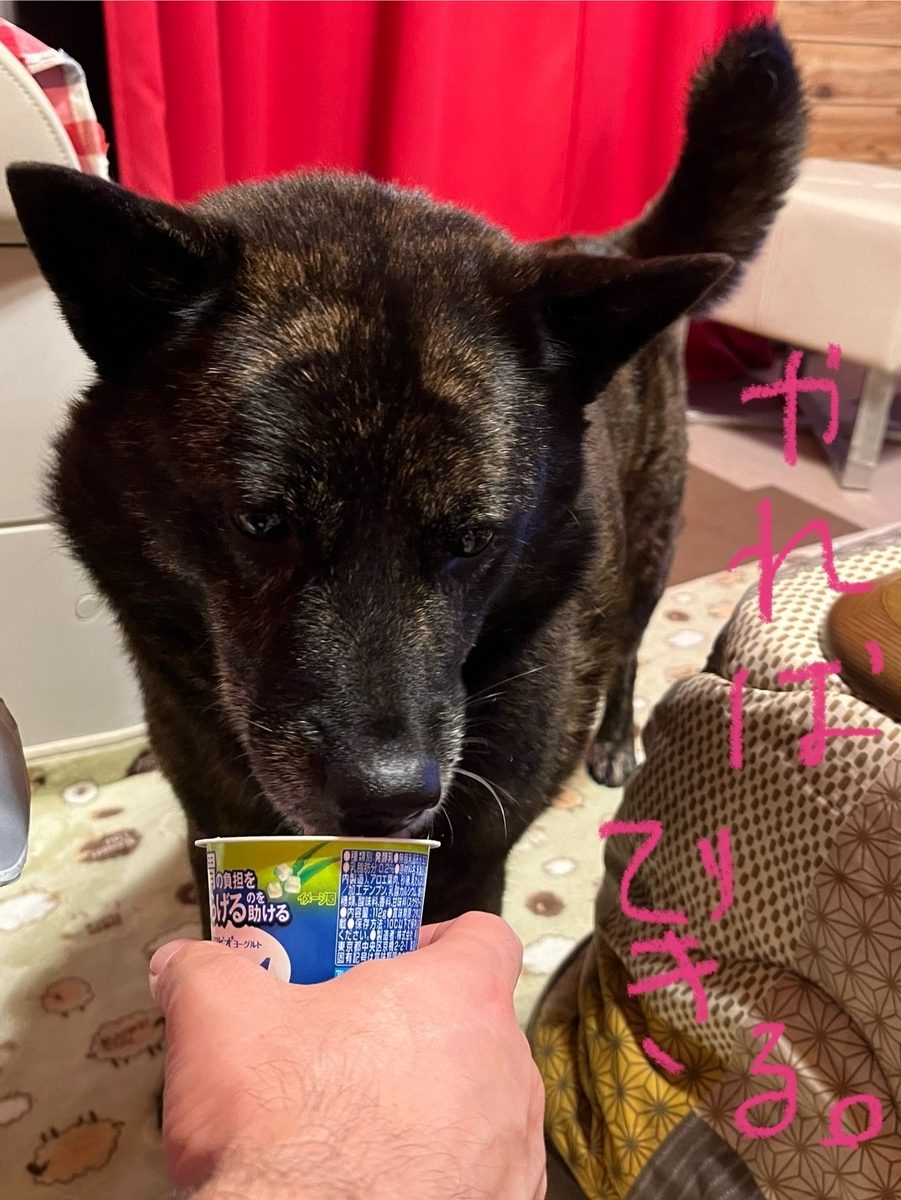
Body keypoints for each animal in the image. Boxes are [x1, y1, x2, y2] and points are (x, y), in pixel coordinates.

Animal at [8, 22, 804, 928]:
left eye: (472, 539)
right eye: (262, 522)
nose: (389, 801)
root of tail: (612, 246)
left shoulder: (471, 871)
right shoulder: (212, 828)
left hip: (648, 551)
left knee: (630, 648)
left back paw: (611, 743)